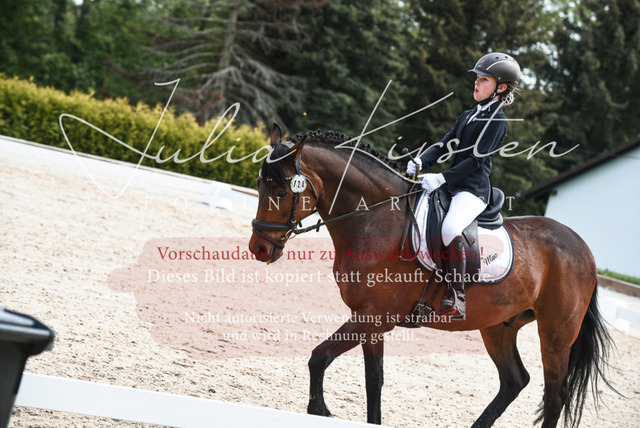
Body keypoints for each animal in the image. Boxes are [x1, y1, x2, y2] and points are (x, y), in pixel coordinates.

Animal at [248, 124, 616, 427]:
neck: (375, 220)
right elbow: (374, 381)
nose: (259, 248)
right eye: (259, 184)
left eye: (282, 190)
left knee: (554, 396)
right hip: (499, 326)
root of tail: (584, 250)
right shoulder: (369, 320)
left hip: (556, 334)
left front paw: (319, 411)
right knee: (515, 380)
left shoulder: (375, 316)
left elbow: (319, 358)